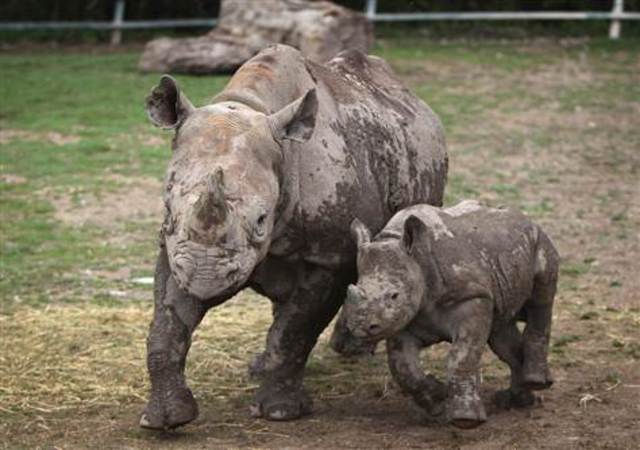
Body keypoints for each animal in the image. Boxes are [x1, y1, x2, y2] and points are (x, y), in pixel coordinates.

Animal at [140, 44, 448, 430]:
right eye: (168, 210)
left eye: (261, 220)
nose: (205, 277)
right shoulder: (175, 248)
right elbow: (166, 325)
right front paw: (166, 419)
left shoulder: (328, 256)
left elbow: (296, 330)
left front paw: (279, 412)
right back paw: (260, 367)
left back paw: (353, 350)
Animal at [344, 200, 559, 428]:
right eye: (352, 291)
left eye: (394, 295)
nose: (362, 327)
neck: (418, 259)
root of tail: (526, 218)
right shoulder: (404, 316)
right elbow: (403, 366)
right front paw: (438, 399)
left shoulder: (473, 296)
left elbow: (461, 355)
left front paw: (465, 419)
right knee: (501, 334)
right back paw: (516, 400)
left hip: (540, 241)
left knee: (541, 301)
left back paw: (536, 381)